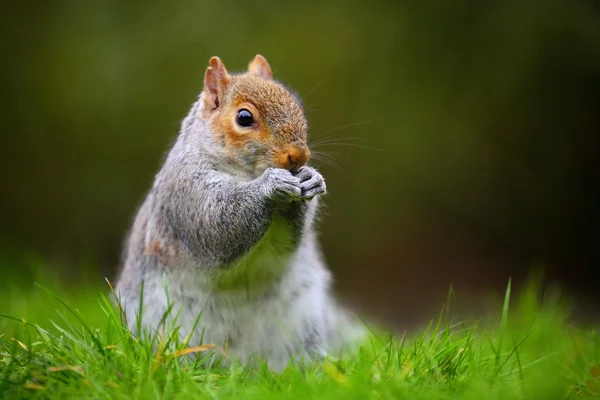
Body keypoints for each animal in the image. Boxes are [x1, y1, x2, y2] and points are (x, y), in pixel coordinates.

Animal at [114, 54, 364, 372]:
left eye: (296, 104)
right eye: (244, 118)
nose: (299, 156)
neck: (246, 175)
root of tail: (241, 364)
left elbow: (287, 241)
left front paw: (312, 179)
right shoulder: (187, 191)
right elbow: (218, 223)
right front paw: (270, 185)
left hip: (301, 323)